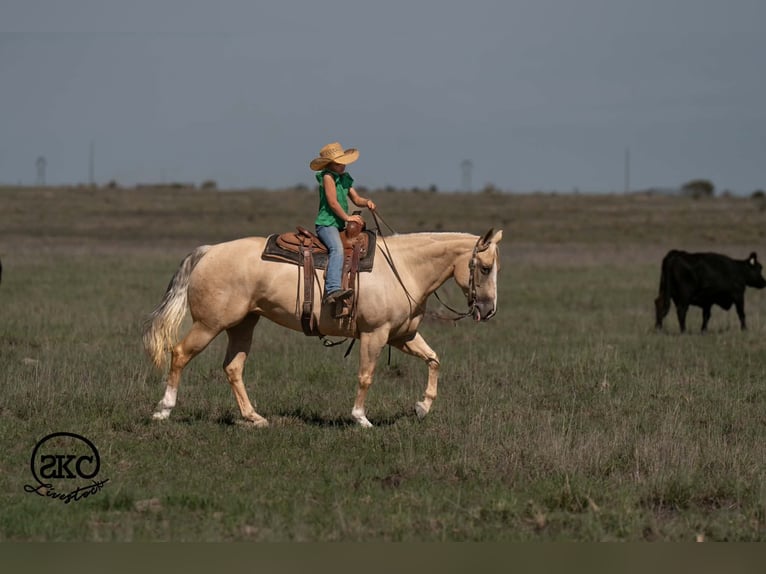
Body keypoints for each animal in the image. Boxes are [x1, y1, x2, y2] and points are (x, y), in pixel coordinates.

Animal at [142, 228, 503, 428]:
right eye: (485, 268)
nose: (488, 310)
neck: (404, 268)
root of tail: (208, 252)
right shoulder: (375, 334)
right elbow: (366, 376)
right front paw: (361, 418)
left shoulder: (403, 335)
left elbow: (434, 360)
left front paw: (422, 408)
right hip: (209, 324)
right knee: (179, 354)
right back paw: (164, 410)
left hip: (243, 325)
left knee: (233, 368)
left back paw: (254, 418)